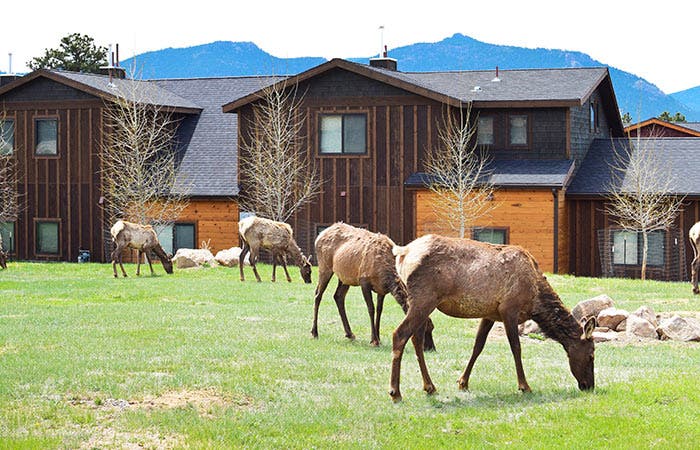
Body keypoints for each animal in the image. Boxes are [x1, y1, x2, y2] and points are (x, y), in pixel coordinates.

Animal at [389, 234, 596, 402]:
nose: (589, 386)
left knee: (416, 338)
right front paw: (524, 386)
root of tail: (403, 252)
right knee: (399, 334)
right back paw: (396, 392)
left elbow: (478, 346)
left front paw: (463, 382)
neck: (535, 299)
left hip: (420, 302)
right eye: (591, 354)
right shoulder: (509, 308)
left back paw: (429, 387)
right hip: (424, 298)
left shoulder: (489, 314)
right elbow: (516, 347)